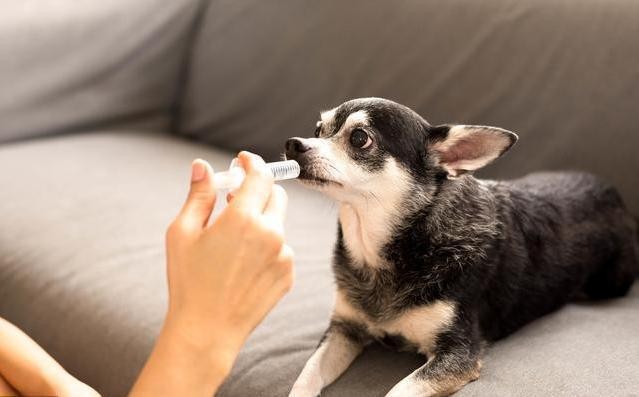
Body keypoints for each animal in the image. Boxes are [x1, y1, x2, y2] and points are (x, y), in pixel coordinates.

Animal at [286, 96, 639, 396]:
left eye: (360, 138)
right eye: (318, 130)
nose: (293, 143)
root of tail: (616, 196)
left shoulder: (459, 353)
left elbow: (400, 389)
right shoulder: (345, 330)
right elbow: (307, 373)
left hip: (609, 283)